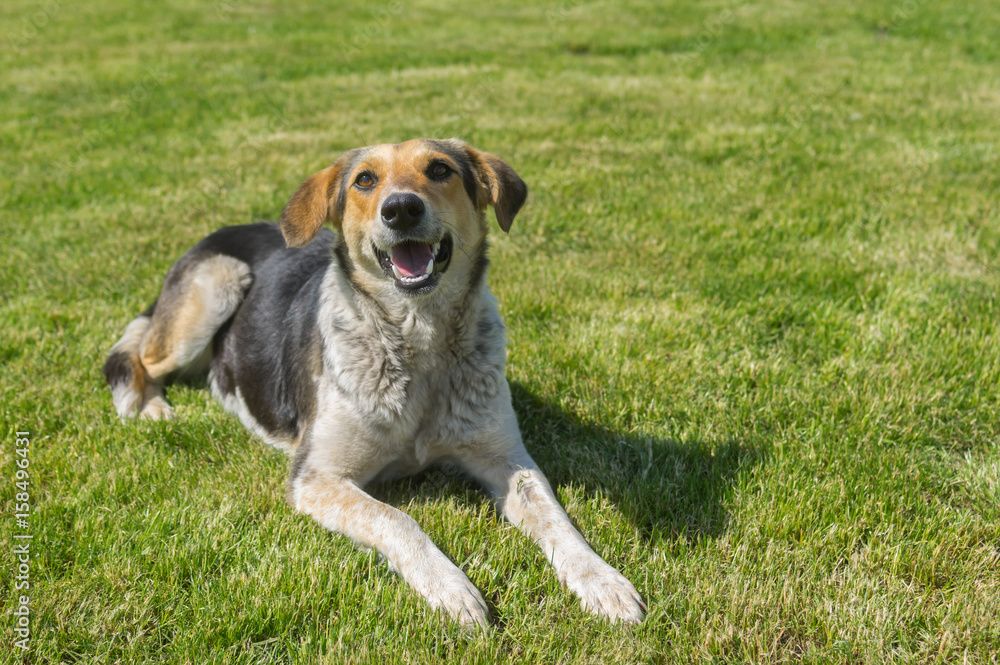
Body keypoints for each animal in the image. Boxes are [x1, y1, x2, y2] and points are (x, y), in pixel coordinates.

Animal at [103, 137, 648, 624]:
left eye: (439, 169)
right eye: (365, 180)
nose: (401, 209)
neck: (417, 344)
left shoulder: (508, 459)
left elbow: (557, 518)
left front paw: (604, 582)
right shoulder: (317, 477)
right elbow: (398, 518)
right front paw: (452, 590)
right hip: (215, 286)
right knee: (139, 354)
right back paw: (149, 406)